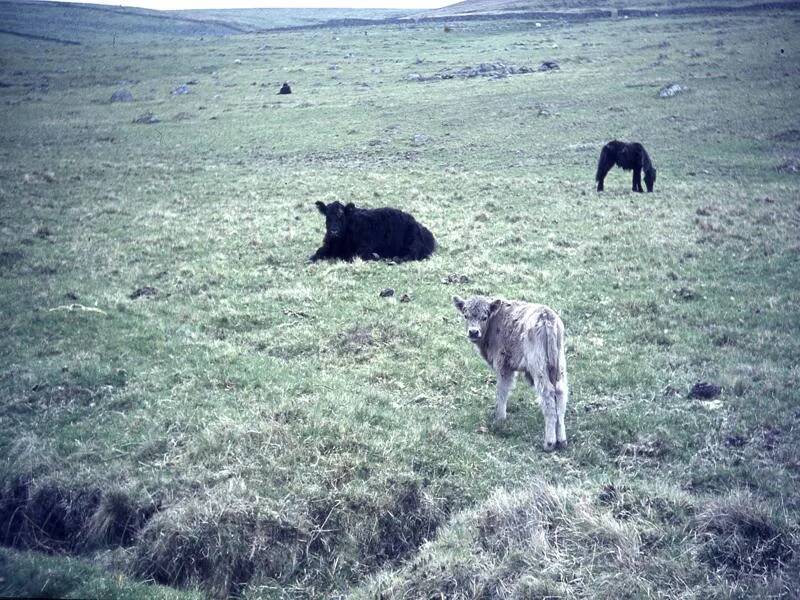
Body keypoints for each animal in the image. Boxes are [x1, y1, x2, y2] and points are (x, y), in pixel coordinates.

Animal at [454, 296, 564, 450]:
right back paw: (562, 440)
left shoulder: (504, 367)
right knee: (560, 394)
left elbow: (502, 391)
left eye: (484, 317)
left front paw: (500, 418)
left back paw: (549, 443)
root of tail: (546, 317)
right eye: (466, 315)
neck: (494, 320)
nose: (473, 332)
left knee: (548, 394)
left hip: (539, 368)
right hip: (559, 366)